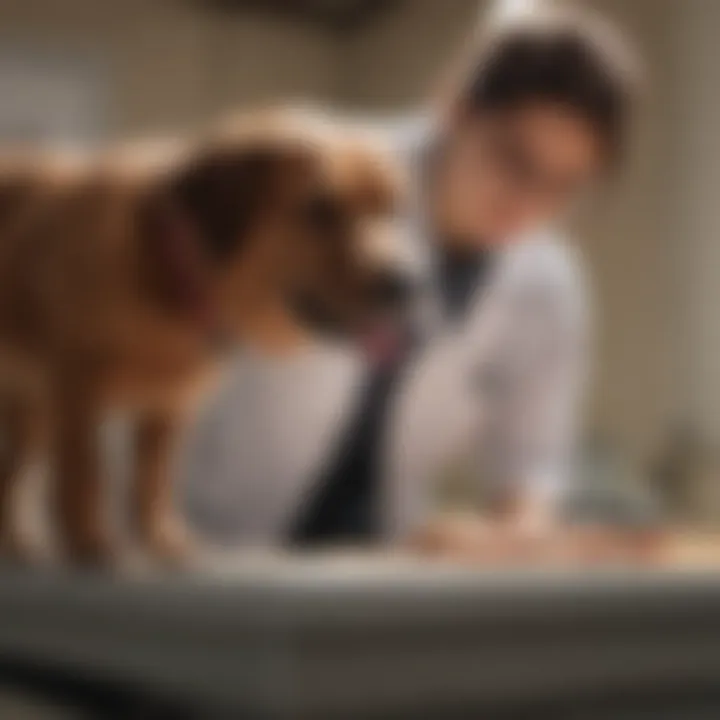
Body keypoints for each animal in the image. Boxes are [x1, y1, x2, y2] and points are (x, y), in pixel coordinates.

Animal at [0, 108, 410, 568]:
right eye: (319, 209)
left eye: (393, 210)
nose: (405, 283)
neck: (174, 275)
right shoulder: (76, 389)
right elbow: (83, 477)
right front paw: (91, 544)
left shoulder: (168, 408)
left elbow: (152, 483)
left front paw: (163, 541)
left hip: (33, 412)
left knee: (8, 474)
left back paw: (16, 542)